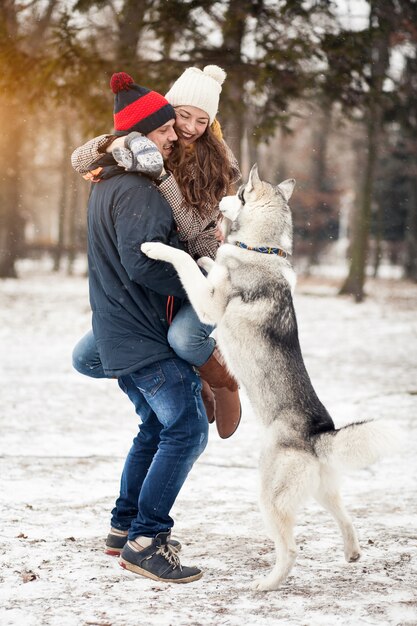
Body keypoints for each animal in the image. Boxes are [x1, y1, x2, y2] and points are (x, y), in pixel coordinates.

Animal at [142, 162, 396, 588]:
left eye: (238, 191)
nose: (217, 202)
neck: (260, 249)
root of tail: (319, 433)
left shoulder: (210, 307)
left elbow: (183, 261)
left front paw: (159, 249)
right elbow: (206, 264)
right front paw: (207, 258)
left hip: (269, 494)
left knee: (290, 548)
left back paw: (268, 583)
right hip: (322, 490)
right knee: (344, 515)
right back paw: (351, 551)